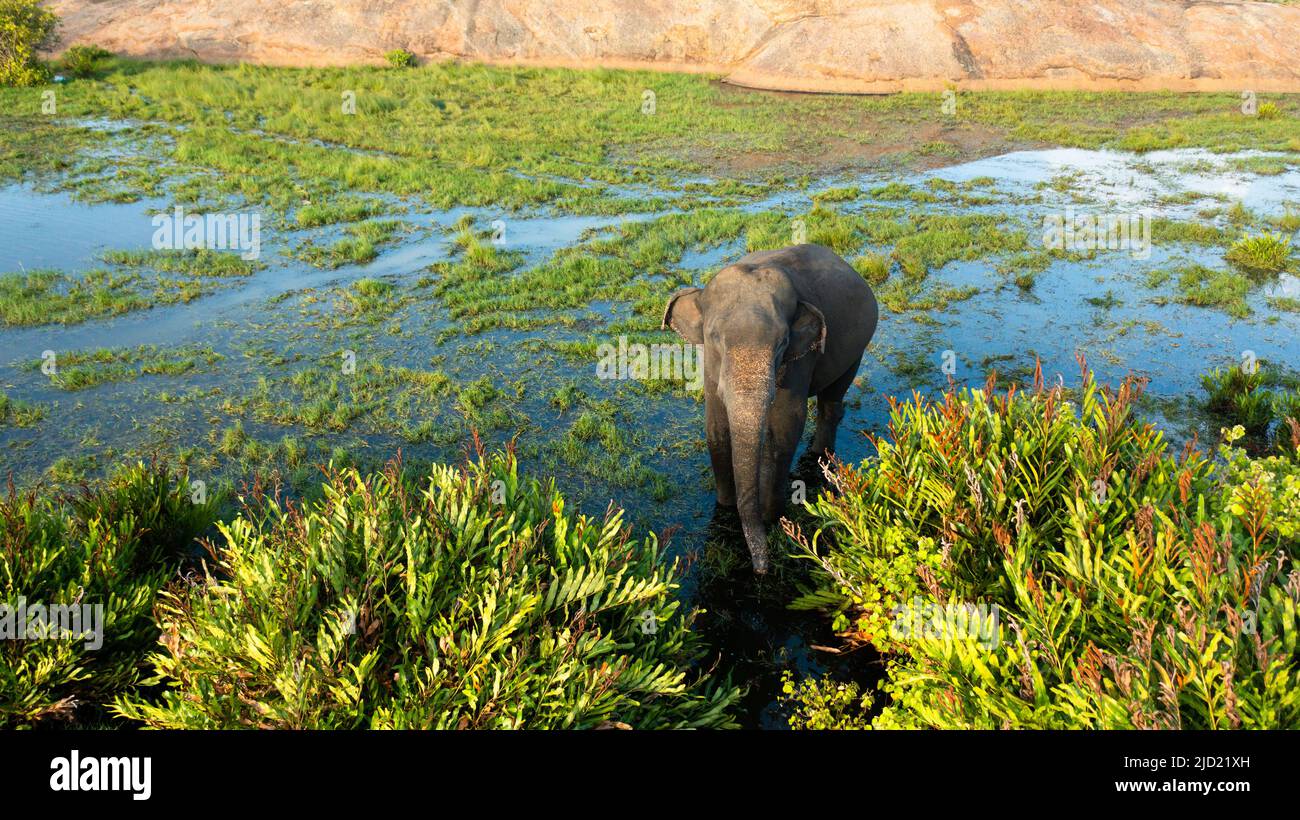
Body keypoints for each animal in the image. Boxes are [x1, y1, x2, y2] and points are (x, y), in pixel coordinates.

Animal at [663, 243, 878, 573]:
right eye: (714, 338)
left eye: (783, 342)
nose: (761, 569)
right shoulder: (710, 365)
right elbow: (715, 425)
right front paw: (725, 507)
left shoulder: (799, 360)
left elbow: (787, 424)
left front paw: (771, 516)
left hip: (857, 347)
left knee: (832, 399)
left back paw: (819, 455)